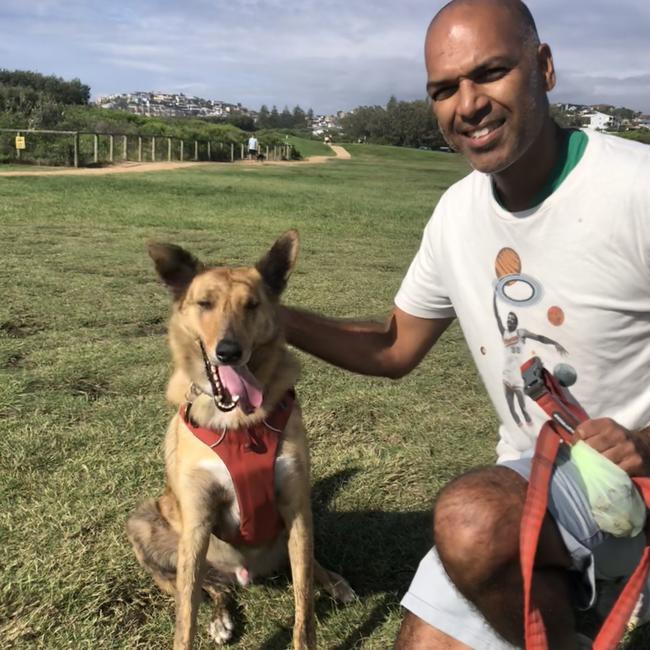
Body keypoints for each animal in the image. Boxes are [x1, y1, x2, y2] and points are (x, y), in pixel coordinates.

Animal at [124, 229, 352, 648]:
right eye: (205, 303)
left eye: (251, 305)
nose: (229, 352)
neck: (238, 423)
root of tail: (247, 575)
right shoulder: (198, 522)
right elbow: (186, 615)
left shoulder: (295, 505)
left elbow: (303, 605)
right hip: (147, 524)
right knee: (211, 588)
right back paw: (221, 616)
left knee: (305, 566)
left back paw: (333, 581)